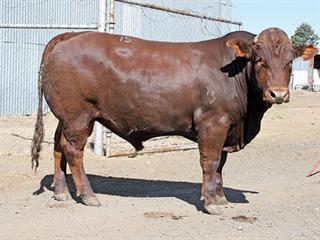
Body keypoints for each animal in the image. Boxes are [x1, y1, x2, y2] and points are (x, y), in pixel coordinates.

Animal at [31, 27, 316, 215]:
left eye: (290, 62)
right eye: (259, 60)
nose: (278, 94)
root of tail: (68, 36)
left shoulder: (227, 127)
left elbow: (221, 165)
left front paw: (221, 198)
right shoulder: (213, 123)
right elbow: (211, 162)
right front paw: (210, 203)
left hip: (66, 117)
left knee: (58, 147)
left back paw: (61, 192)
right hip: (79, 116)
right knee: (73, 151)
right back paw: (89, 196)